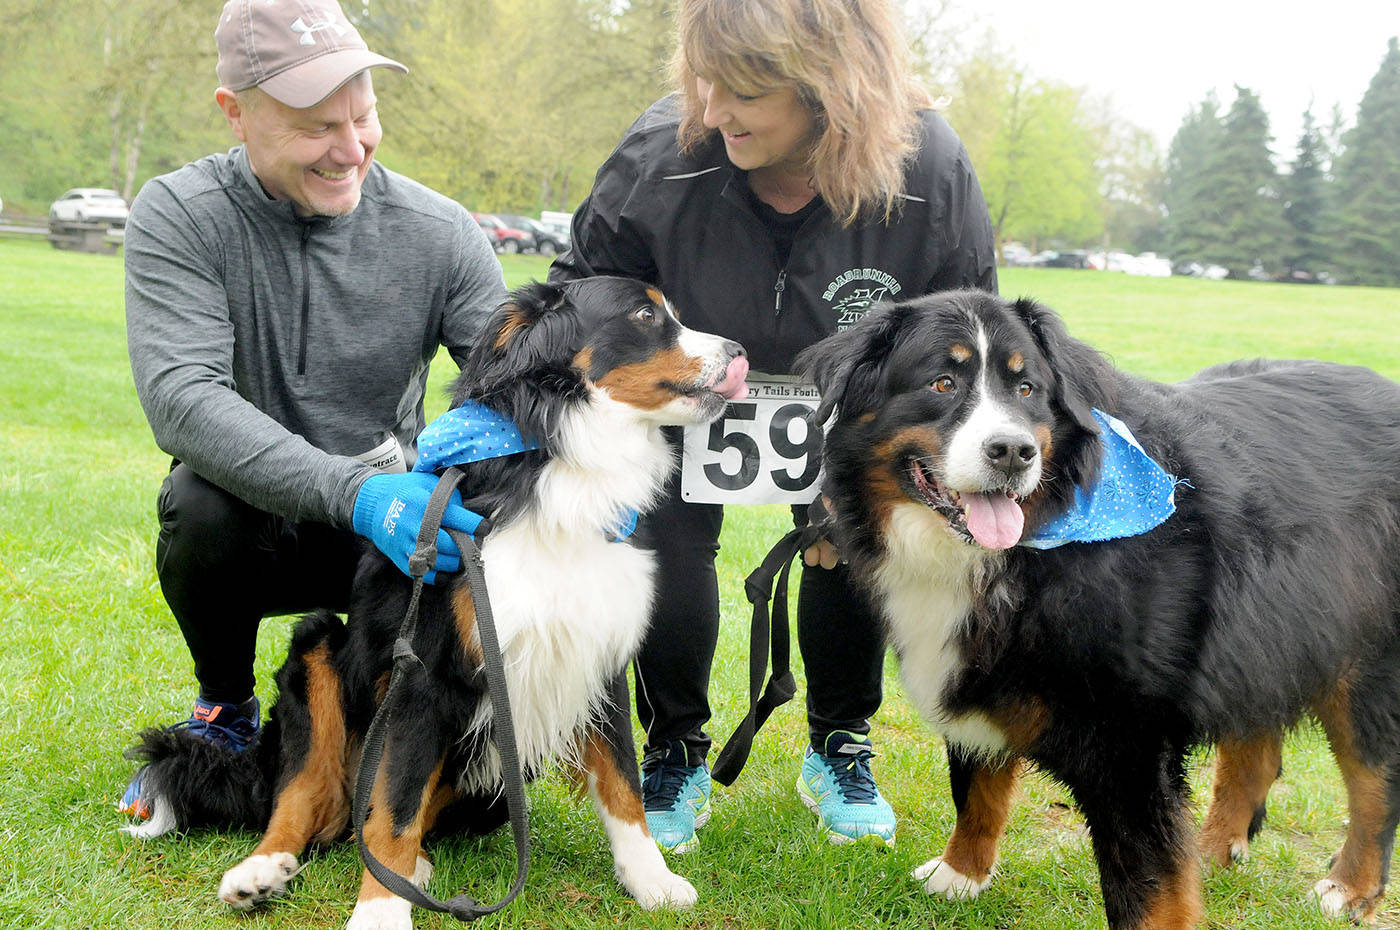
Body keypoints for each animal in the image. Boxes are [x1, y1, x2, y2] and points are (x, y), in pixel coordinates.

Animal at [126, 275, 750, 930]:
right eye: (644, 315)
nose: (739, 351)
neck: (556, 471)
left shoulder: (594, 657)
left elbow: (622, 783)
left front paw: (652, 881)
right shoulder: (422, 674)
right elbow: (396, 803)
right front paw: (379, 913)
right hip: (318, 647)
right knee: (308, 796)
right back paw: (262, 871)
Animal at [800, 291, 1400, 930]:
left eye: (1027, 389)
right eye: (942, 382)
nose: (1013, 451)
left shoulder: (1128, 747)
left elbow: (1146, 885)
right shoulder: (979, 676)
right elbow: (977, 787)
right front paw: (959, 875)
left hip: (1363, 662)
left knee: (1374, 778)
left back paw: (1350, 886)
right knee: (1257, 756)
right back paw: (1212, 850)